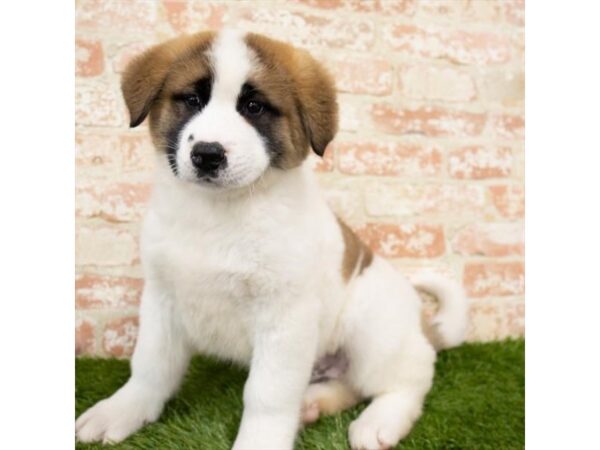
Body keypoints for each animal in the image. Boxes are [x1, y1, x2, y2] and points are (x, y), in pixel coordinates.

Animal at [75, 29, 468, 450]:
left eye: (254, 107)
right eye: (192, 100)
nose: (207, 154)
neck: (220, 211)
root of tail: (422, 327)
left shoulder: (285, 317)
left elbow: (267, 394)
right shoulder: (163, 299)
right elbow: (150, 365)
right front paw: (122, 409)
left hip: (373, 327)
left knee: (406, 381)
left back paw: (379, 422)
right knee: (350, 384)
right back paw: (312, 403)